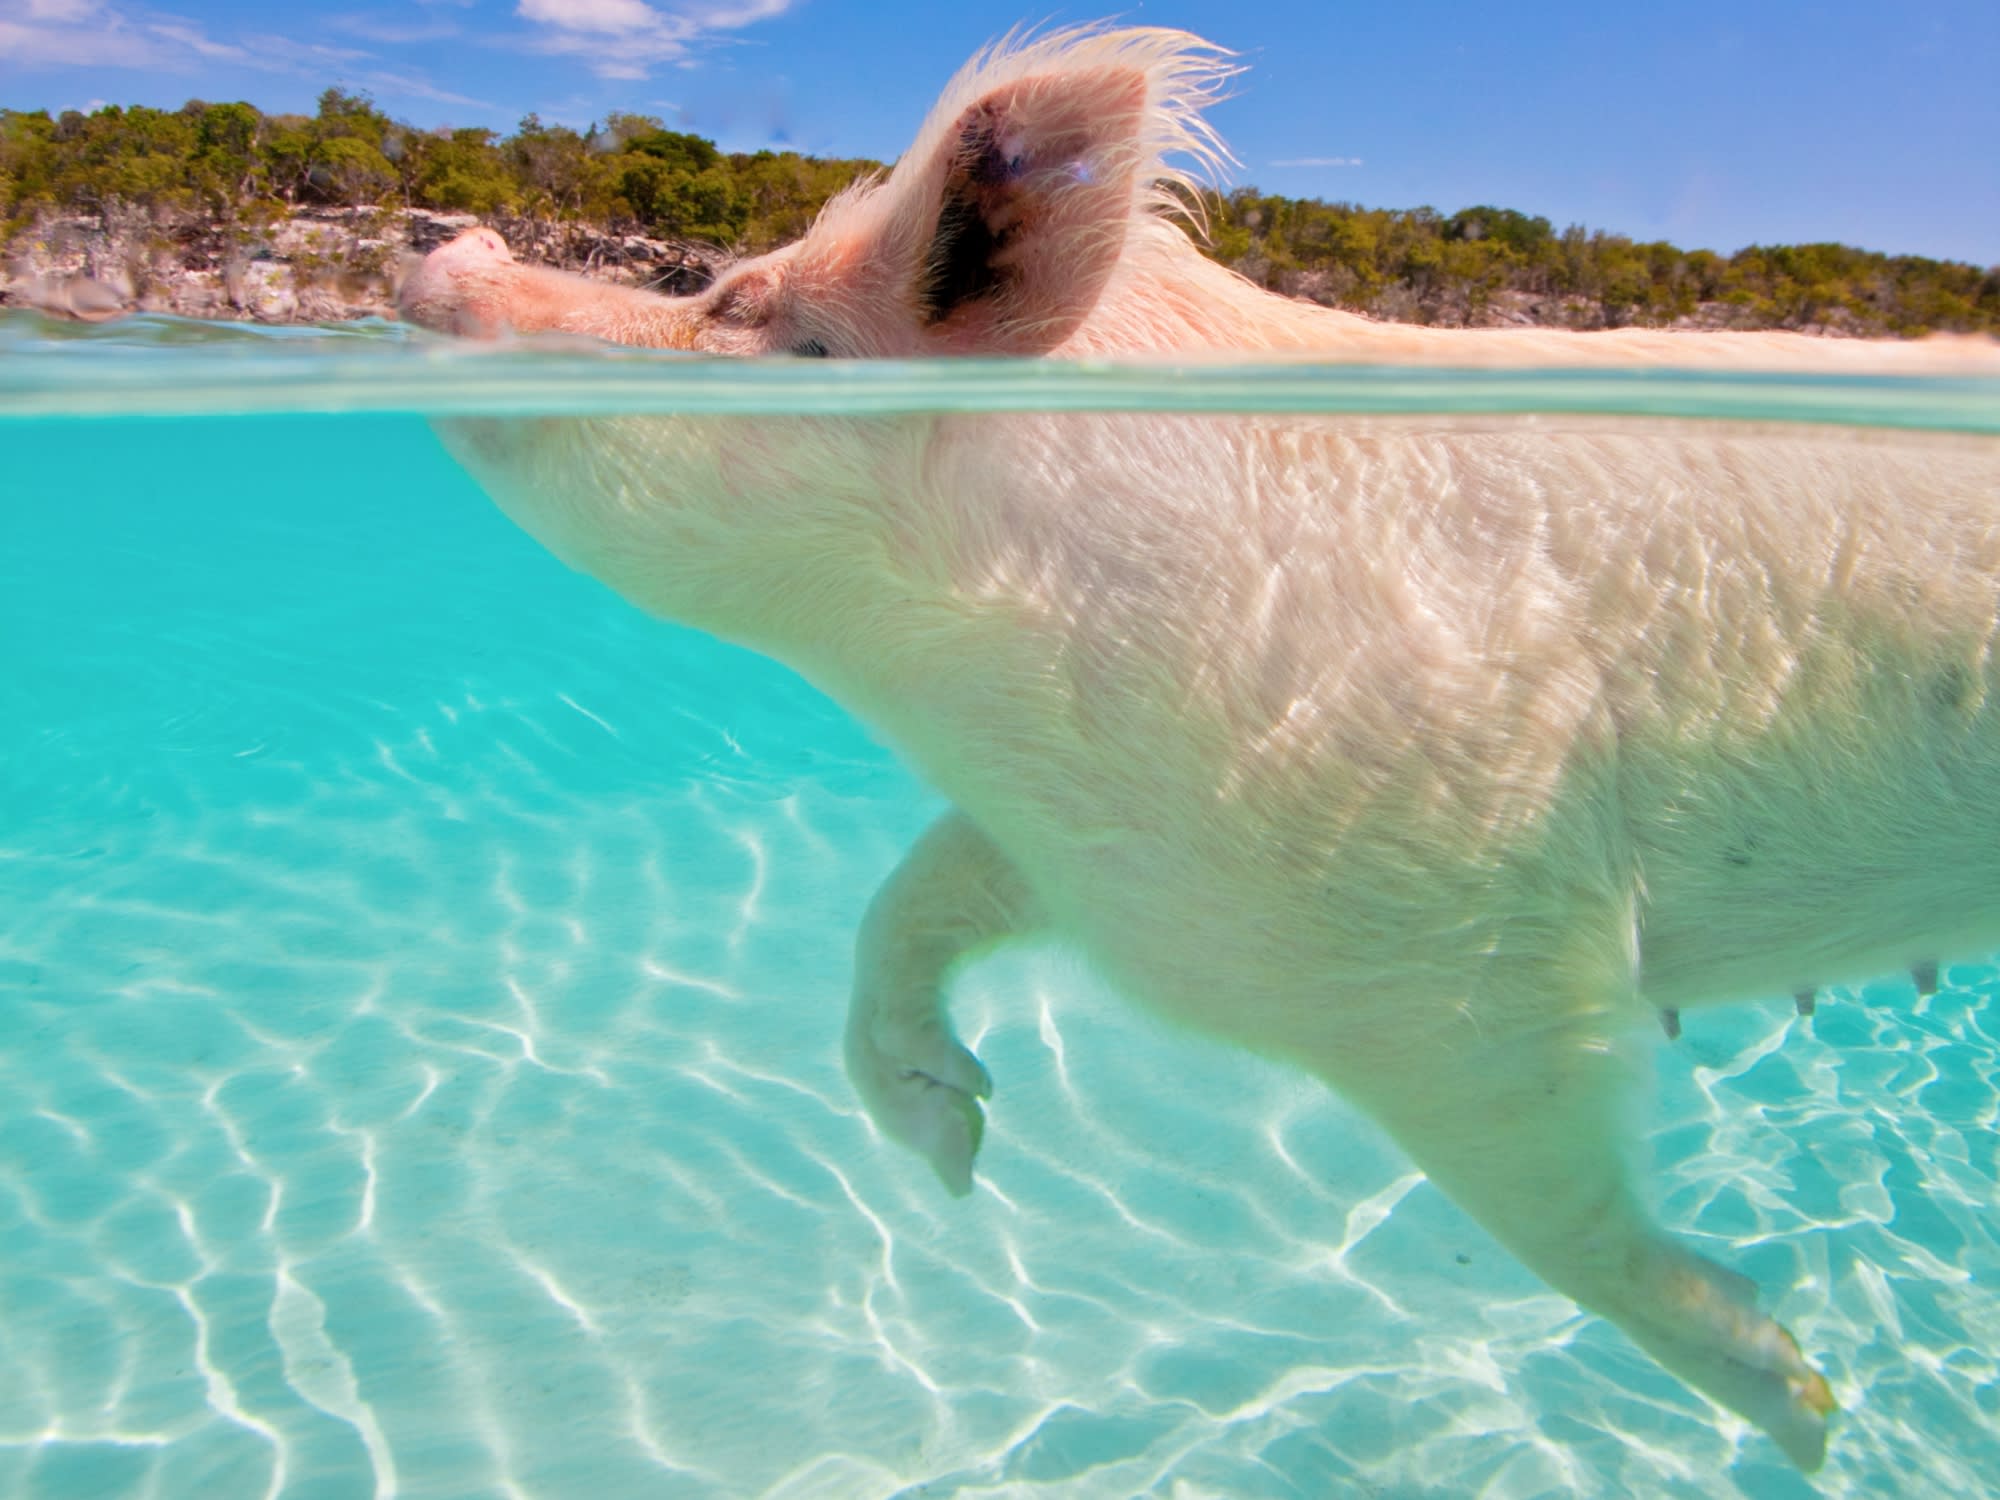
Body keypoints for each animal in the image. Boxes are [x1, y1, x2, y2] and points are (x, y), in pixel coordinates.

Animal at [398, 26, 2000, 1480]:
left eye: (736, 298)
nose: (443, 241)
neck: (957, 677)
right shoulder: (1107, 862)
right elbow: (906, 905)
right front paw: (957, 1151)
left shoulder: (1467, 973)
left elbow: (1566, 1216)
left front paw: (1804, 1415)